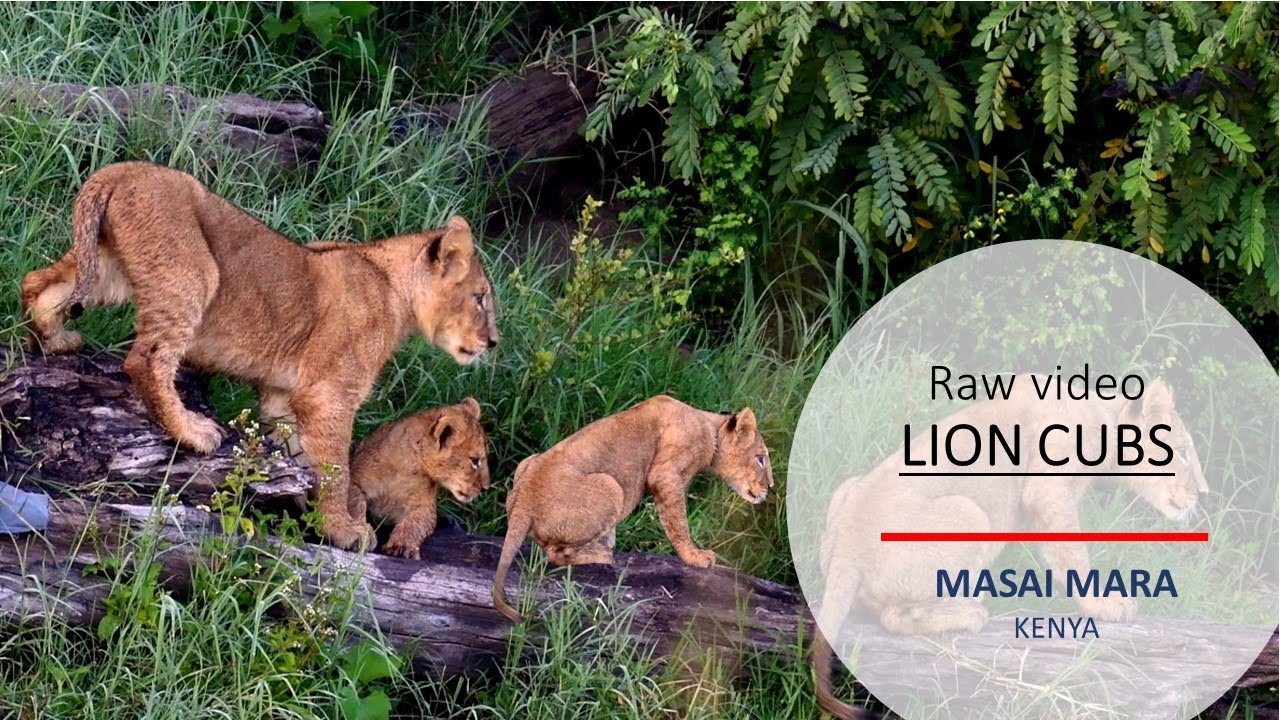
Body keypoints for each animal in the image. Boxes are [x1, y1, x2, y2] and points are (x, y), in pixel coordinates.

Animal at [347, 397, 491, 560]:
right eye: (475, 460)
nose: (485, 488)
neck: (407, 468)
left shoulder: (424, 506)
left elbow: (415, 524)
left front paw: (402, 546)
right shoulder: (355, 481)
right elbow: (355, 505)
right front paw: (359, 534)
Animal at [491, 395, 774, 622]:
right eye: (760, 459)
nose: (770, 486)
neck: (709, 424)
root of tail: (523, 504)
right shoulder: (666, 475)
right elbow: (678, 523)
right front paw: (696, 556)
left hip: (526, 463)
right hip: (612, 487)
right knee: (554, 554)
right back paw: (601, 554)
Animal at [811, 377, 1207, 719]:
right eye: (1183, 453)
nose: (1203, 493)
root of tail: (848, 548)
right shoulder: (1049, 489)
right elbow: (1073, 552)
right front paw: (1105, 604)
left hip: (847, 492)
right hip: (971, 514)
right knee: (893, 617)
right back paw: (968, 612)